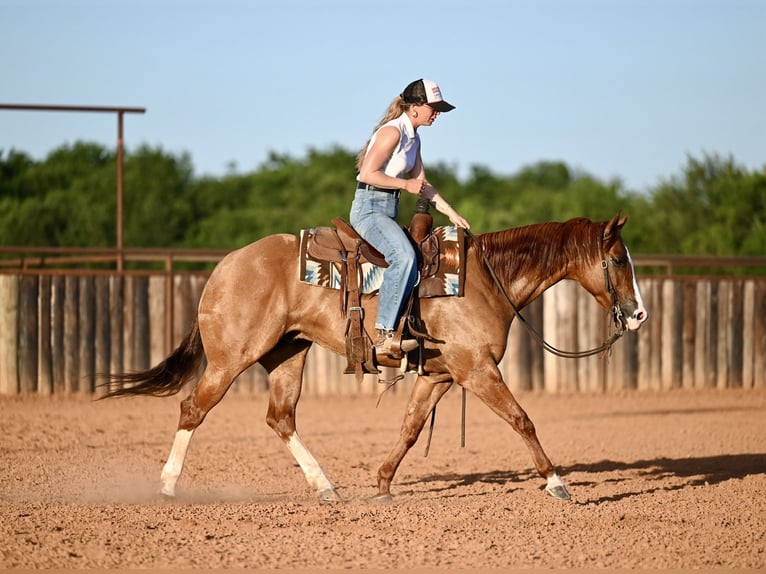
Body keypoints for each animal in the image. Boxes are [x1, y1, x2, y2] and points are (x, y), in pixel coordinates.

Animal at [102, 212, 648, 502]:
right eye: (617, 259)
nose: (639, 314)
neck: (484, 280)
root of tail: (225, 266)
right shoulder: (476, 370)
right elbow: (522, 419)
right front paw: (556, 483)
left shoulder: (441, 375)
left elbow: (409, 429)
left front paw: (382, 484)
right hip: (230, 358)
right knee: (193, 408)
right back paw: (168, 487)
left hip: (288, 354)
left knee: (280, 418)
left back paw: (326, 488)